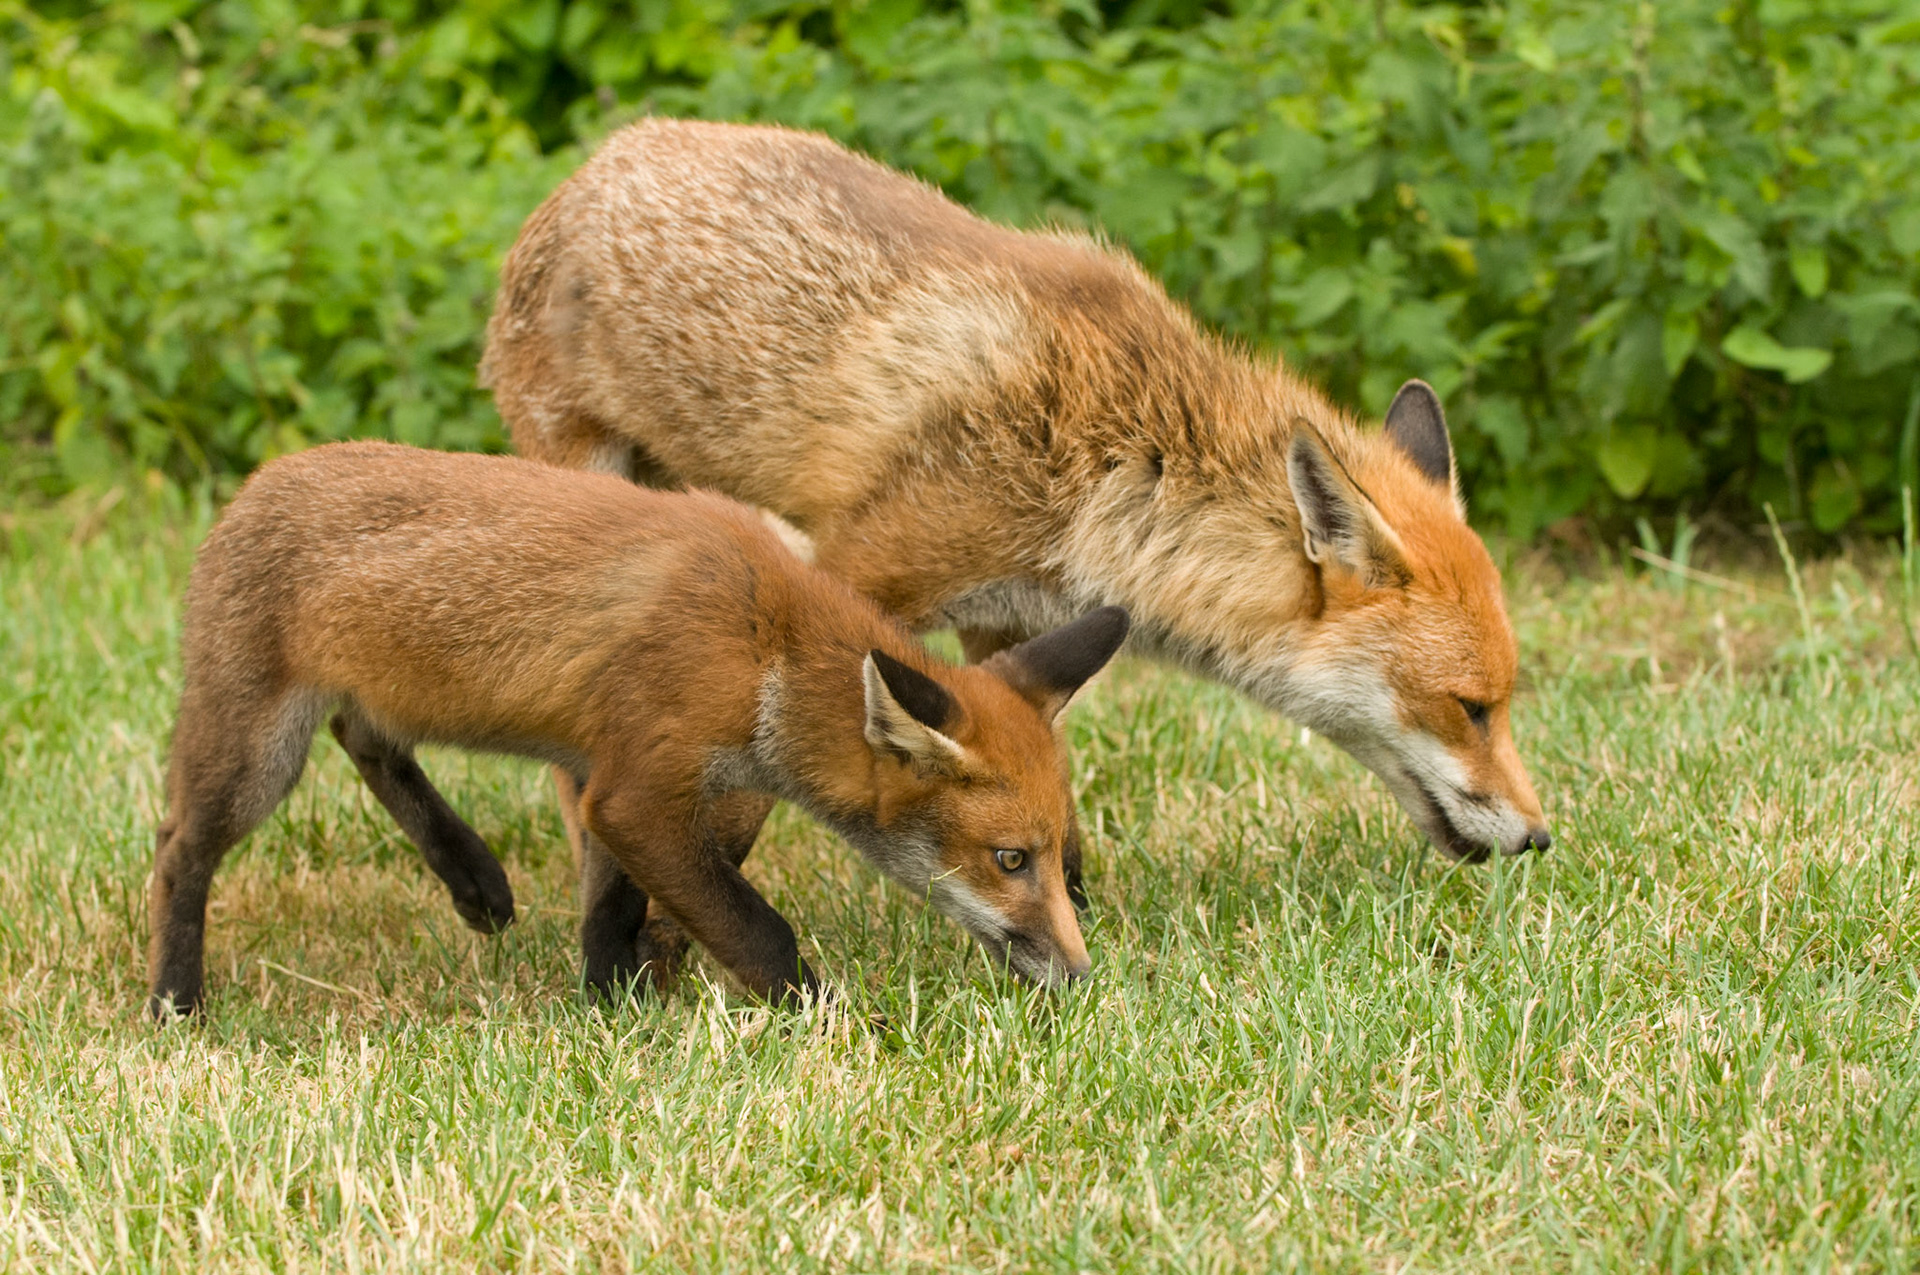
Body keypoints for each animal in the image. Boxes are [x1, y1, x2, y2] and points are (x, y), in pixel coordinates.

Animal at [146, 441, 1128, 1018]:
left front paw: (610, 1008)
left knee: (370, 742)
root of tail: (256, 481)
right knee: (178, 849)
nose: (1084, 978)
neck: (765, 645)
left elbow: (609, 910)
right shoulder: (640, 789)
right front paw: (839, 1023)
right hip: (257, 757)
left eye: (1060, 857)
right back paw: (175, 1002)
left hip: (367, 702)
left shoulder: (617, 779)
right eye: (1011, 859)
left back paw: (472, 875)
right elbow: (759, 931)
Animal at [481, 118, 1551, 896]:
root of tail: (597, 159)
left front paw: (1064, 915)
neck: (1111, 467)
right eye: (1471, 708)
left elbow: (1044, 782)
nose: (1542, 838)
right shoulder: (851, 574)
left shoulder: (1009, 621)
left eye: (1501, 705)